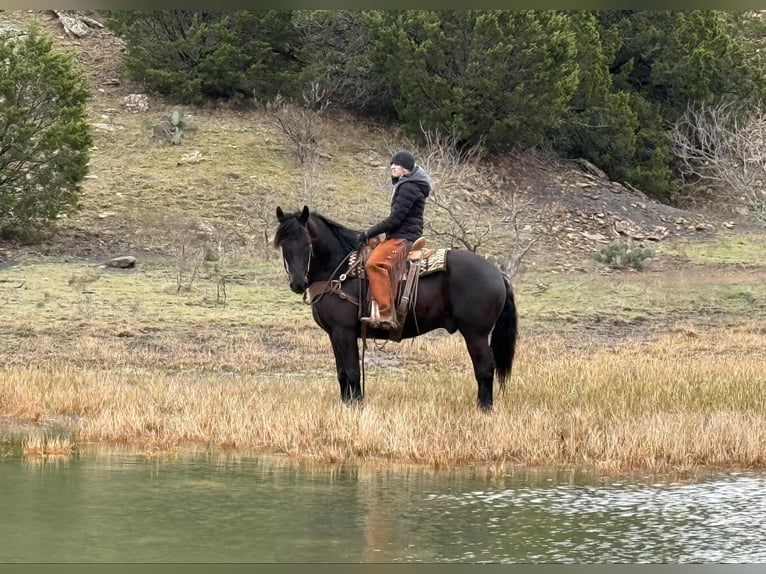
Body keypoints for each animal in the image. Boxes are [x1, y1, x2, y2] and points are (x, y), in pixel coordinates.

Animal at [273, 205, 518, 410]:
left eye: (308, 244)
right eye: (284, 246)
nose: (297, 283)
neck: (340, 270)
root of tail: (497, 273)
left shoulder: (344, 332)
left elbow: (352, 371)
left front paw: (356, 406)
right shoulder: (334, 334)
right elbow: (341, 372)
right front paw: (346, 404)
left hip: (475, 333)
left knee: (485, 368)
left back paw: (484, 408)